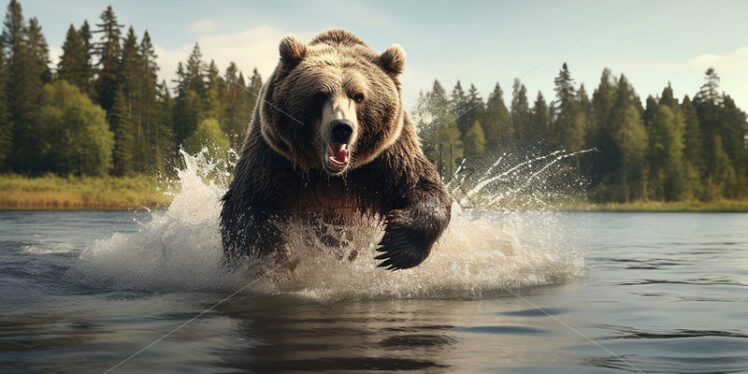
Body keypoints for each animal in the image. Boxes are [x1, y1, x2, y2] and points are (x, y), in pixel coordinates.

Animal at [221, 29, 450, 268]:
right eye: (320, 94)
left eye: (358, 96)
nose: (342, 128)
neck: (329, 174)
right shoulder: (275, 154)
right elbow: (248, 205)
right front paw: (272, 256)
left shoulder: (386, 157)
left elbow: (421, 185)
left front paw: (394, 248)